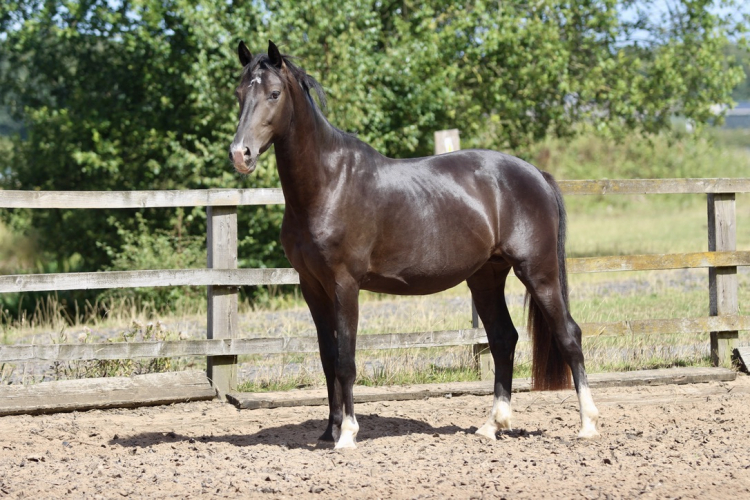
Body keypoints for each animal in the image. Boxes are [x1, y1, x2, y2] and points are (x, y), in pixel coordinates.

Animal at [229, 40, 599, 449]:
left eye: (274, 94)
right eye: (240, 93)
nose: (240, 154)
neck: (329, 183)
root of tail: (536, 174)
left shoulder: (344, 285)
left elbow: (345, 360)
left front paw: (348, 434)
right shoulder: (312, 286)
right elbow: (327, 359)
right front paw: (329, 431)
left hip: (538, 272)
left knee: (569, 335)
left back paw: (588, 425)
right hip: (486, 277)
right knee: (504, 338)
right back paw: (492, 425)